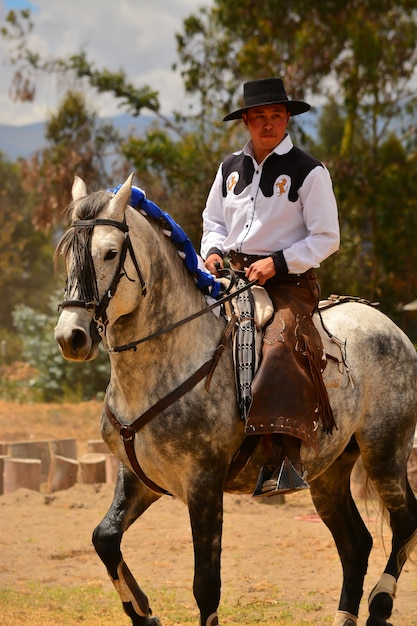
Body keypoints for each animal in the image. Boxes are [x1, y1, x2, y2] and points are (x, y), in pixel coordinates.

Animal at [53, 174, 416, 624]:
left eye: (110, 252)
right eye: (68, 253)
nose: (71, 336)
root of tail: (392, 328)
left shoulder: (204, 484)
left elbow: (206, 585)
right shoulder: (140, 477)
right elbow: (104, 538)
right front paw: (144, 612)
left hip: (385, 452)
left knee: (405, 521)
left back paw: (380, 605)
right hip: (328, 472)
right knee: (356, 544)